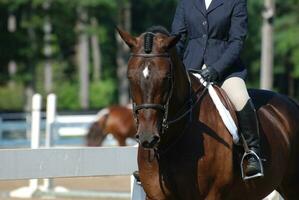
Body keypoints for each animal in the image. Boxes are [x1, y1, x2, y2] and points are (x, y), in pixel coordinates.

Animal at [118, 26, 299, 200]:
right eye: (130, 77)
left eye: (166, 77)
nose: (148, 137)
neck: (172, 141)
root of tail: (290, 101)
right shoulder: (155, 195)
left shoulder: (211, 194)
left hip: (291, 187)